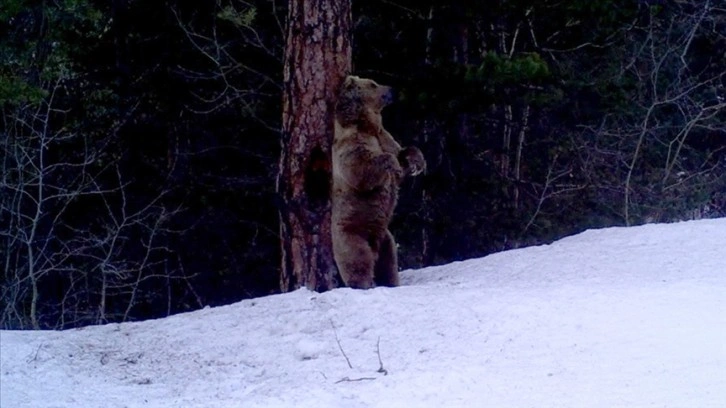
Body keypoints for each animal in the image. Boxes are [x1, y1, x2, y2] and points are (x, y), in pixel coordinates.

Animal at [332, 75, 426, 288]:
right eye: (373, 84)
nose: (392, 89)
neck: (367, 125)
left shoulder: (385, 137)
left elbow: (402, 152)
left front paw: (416, 163)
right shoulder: (351, 146)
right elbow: (361, 169)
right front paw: (393, 165)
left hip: (385, 237)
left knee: (388, 261)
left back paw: (390, 282)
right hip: (351, 233)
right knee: (358, 260)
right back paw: (365, 283)